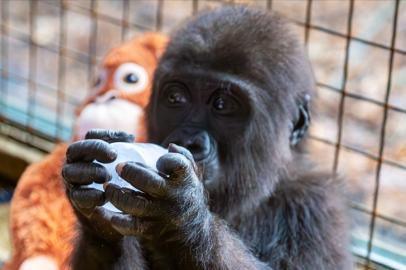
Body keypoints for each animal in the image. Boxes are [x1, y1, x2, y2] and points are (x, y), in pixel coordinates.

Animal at [62, 4, 352, 270]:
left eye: (222, 105)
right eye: (175, 98)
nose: (189, 141)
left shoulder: (315, 209)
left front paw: (181, 217)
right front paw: (95, 222)